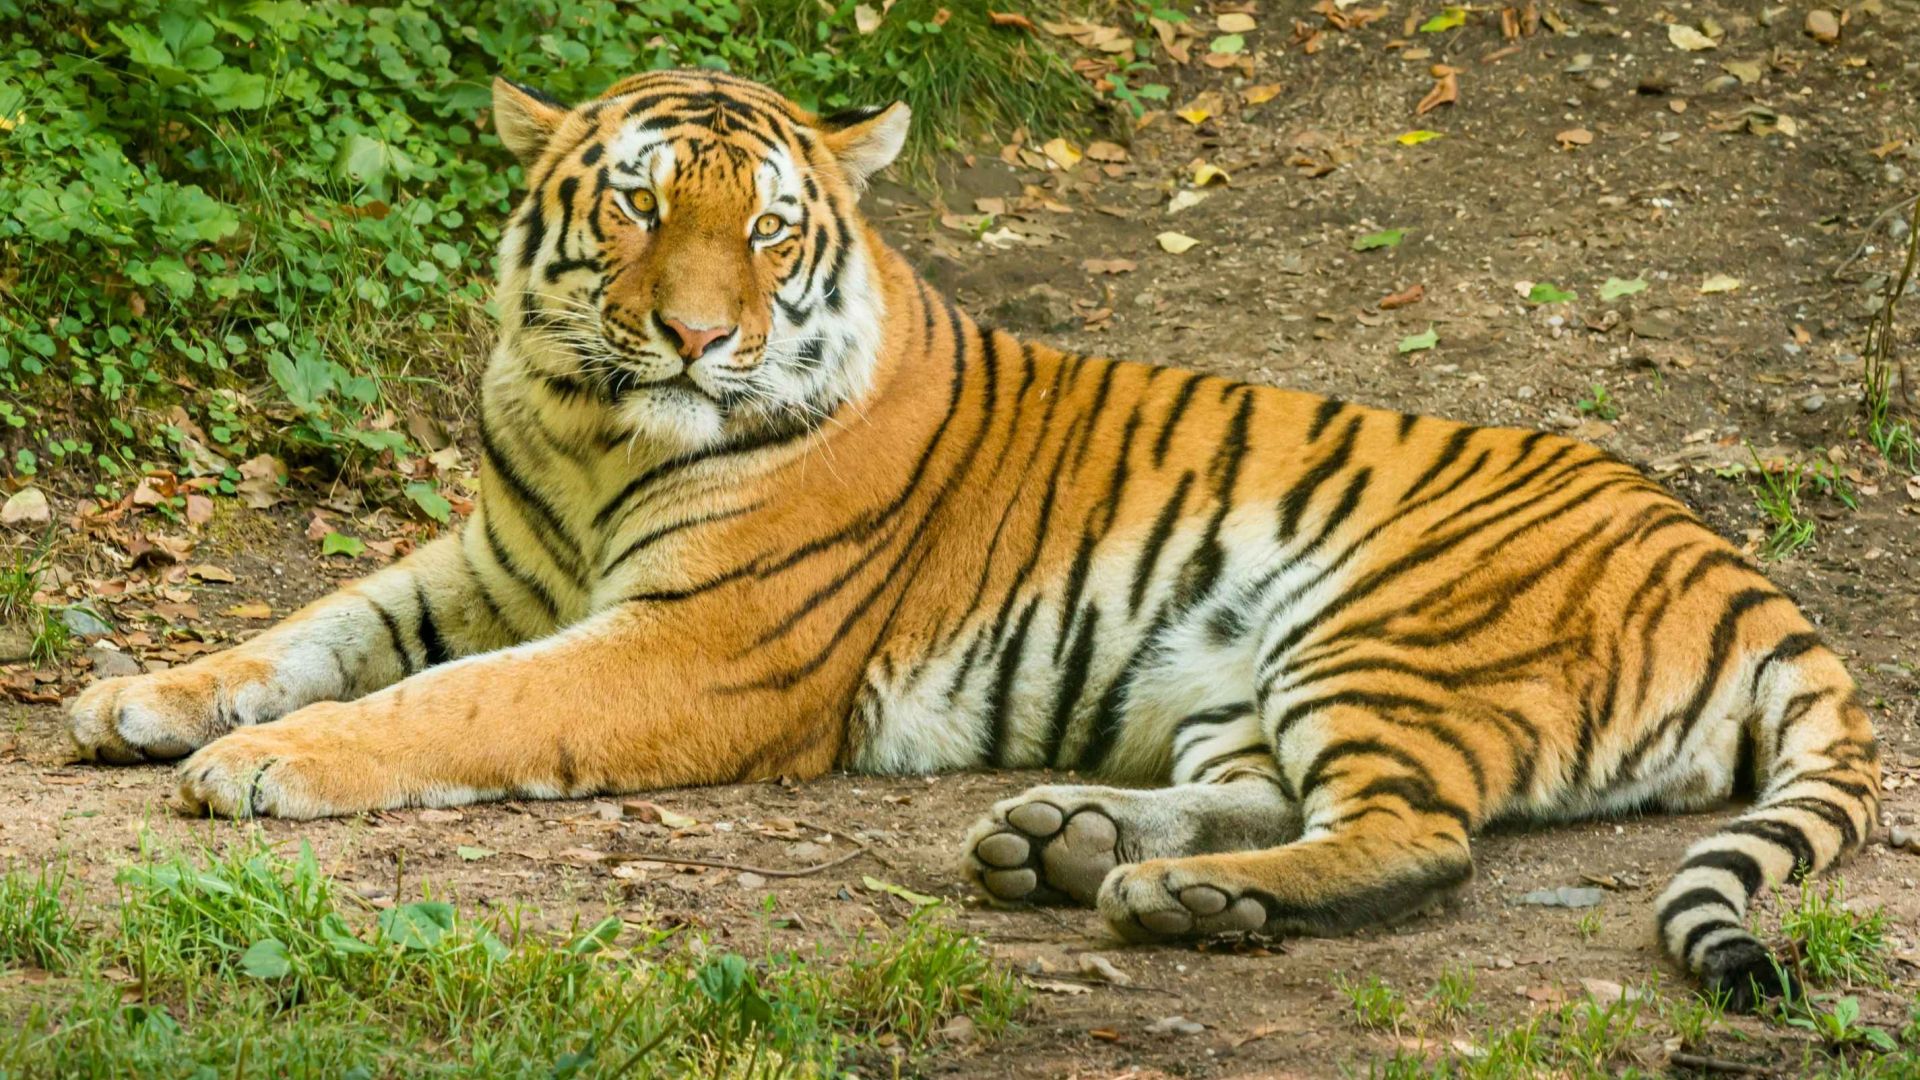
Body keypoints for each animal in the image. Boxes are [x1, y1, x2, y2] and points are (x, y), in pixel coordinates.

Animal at [67, 70, 1878, 1008]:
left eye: (767, 229)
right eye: (639, 205)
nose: (699, 340)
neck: (592, 427)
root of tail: (1744, 572)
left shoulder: (690, 647)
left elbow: (450, 702)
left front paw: (261, 767)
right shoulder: (494, 562)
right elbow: (323, 628)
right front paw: (141, 697)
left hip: (1385, 626)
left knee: (1420, 838)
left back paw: (1160, 902)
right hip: (1242, 674)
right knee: (1272, 795)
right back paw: (1071, 848)